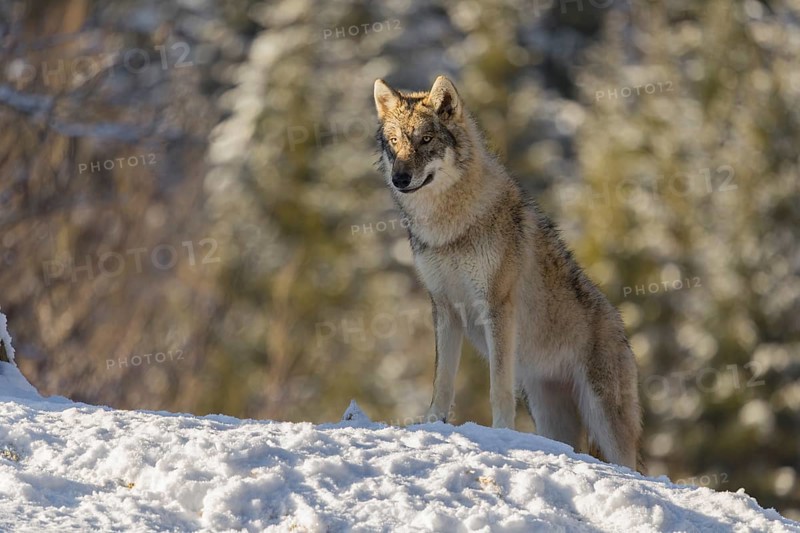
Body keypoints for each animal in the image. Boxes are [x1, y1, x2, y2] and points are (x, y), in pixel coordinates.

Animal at [373, 75, 642, 470]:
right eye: (394, 141)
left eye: (426, 139)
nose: (400, 178)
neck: (450, 229)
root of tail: (621, 327)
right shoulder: (445, 309)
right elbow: (442, 381)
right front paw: (432, 424)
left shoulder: (497, 307)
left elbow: (498, 386)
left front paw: (501, 432)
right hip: (550, 414)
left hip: (606, 422)